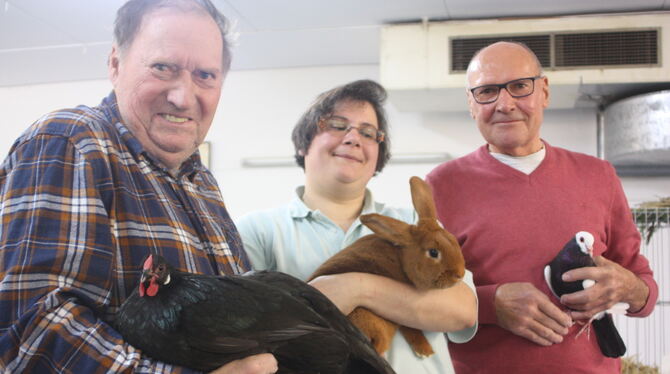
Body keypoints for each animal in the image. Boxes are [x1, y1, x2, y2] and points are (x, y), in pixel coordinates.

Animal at [310, 177, 468, 358]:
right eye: (433, 252)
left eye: (454, 241)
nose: (460, 274)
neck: (402, 259)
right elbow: (411, 328)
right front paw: (425, 351)